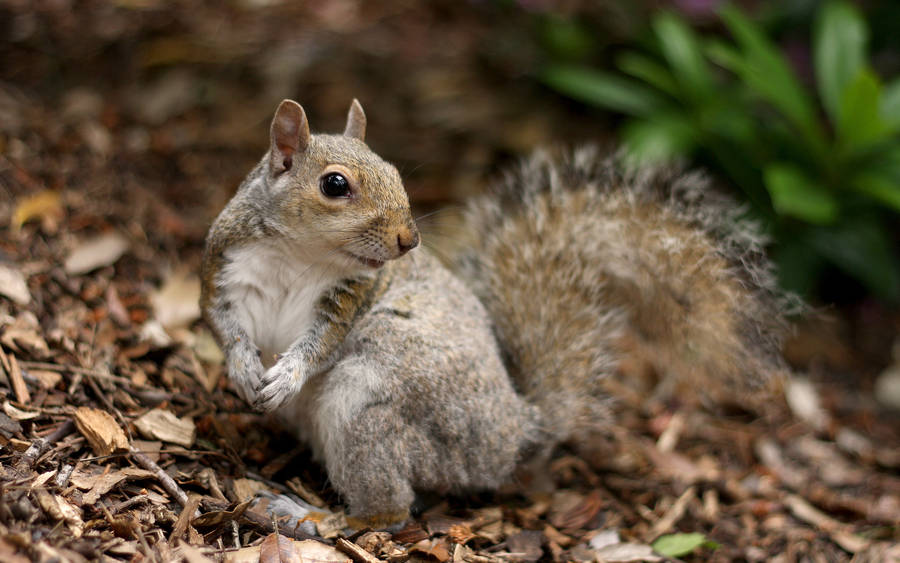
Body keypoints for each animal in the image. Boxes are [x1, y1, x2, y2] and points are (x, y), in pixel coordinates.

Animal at [200, 99, 789, 527]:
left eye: (396, 173)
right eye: (335, 184)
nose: (410, 240)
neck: (299, 256)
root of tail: (517, 432)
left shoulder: (348, 298)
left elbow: (319, 343)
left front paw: (287, 373)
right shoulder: (224, 270)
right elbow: (224, 327)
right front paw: (244, 368)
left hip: (367, 406)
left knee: (389, 513)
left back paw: (312, 517)